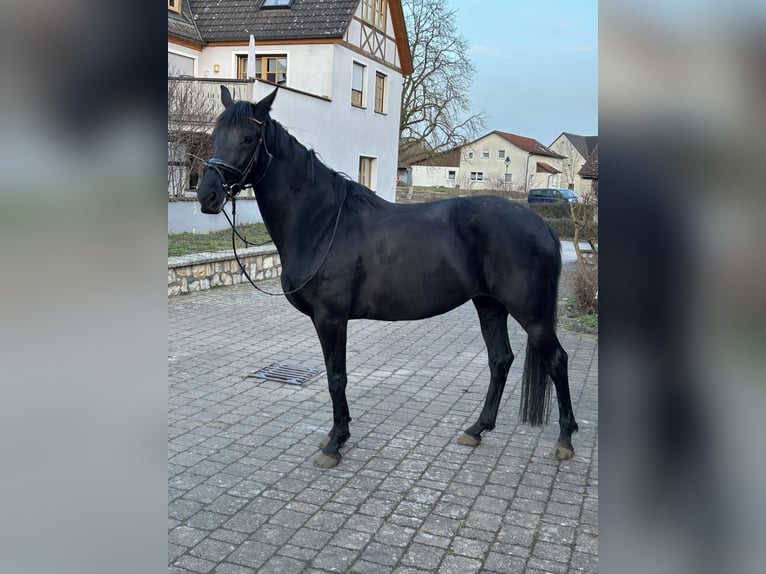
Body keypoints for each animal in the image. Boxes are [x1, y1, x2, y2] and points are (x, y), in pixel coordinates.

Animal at [196, 86, 578, 468]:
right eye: (215, 136)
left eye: (249, 138)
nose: (207, 195)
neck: (321, 221)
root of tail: (541, 224)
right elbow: (336, 377)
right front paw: (337, 434)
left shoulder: (331, 318)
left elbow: (336, 378)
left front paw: (335, 444)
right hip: (489, 305)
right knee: (500, 360)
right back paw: (477, 429)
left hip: (531, 314)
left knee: (557, 361)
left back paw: (564, 440)